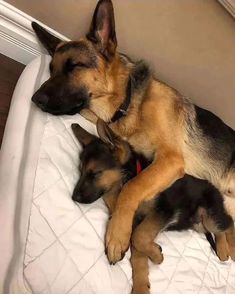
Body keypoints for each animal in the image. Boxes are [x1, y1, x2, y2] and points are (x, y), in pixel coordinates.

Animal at [31, 0, 235, 262]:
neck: (128, 104)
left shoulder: (170, 160)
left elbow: (132, 187)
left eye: (74, 66)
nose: (35, 99)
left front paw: (117, 234)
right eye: (52, 69)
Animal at [71, 120, 235, 294]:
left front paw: (156, 255)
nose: (74, 197)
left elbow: (139, 236)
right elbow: (138, 256)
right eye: (80, 171)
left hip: (210, 216)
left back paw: (225, 249)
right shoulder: (136, 224)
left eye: (95, 173)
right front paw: (141, 286)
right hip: (198, 223)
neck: (131, 175)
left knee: (227, 223)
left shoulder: (164, 210)